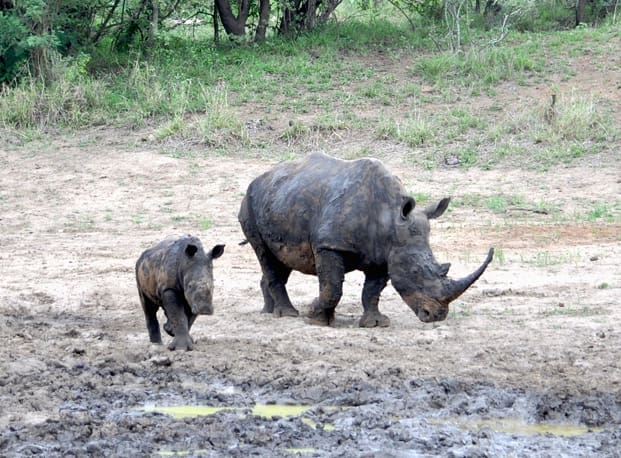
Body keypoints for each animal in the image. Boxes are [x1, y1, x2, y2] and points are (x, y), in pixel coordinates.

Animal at [238, 153, 493, 327]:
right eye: (414, 273)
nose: (437, 316)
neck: (390, 219)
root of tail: (258, 178)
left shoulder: (386, 253)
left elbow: (372, 291)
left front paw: (375, 324)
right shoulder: (329, 245)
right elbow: (332, 287)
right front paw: (316, 318)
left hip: (279, 200)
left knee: (279, 260)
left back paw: (268, 312)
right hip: (248, 205)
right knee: (264, 254)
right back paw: (287, 314)